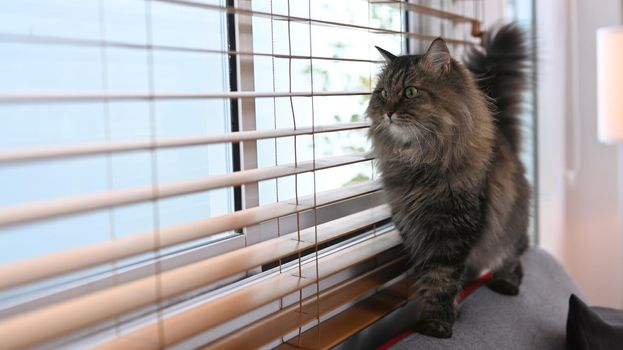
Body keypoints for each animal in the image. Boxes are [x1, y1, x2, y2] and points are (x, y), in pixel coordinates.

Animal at [368, 22, 528, 340]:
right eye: (382, 93)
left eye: (410, 92)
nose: (388, 112)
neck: (419, 160)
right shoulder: (415, 228)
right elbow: (428, 278)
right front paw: (440, 315)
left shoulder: (454, 230)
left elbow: (441, 279)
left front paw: (436, 324)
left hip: (510, 225)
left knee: (514, 257)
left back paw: (507, 283)